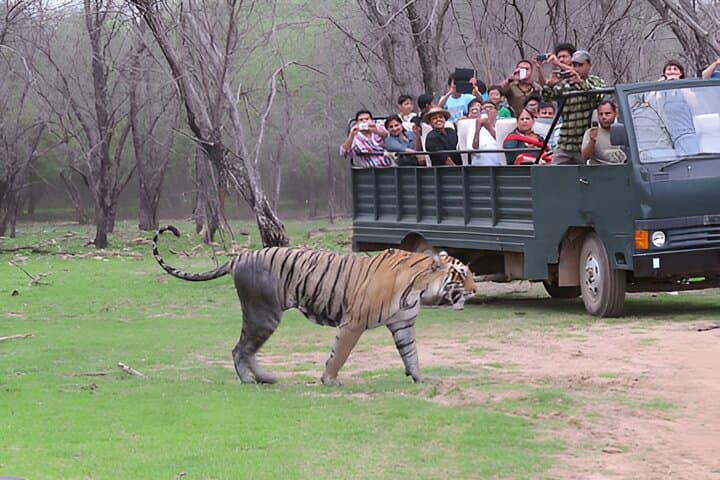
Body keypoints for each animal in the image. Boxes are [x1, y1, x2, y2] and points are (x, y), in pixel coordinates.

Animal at [152, 225, 477, 385]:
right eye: (461, 275)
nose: (474, 290)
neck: (417, 288)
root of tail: (239, 257)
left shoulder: (403, 324)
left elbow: (411, 354)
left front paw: (420, 378)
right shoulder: (353, 322)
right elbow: (339, 354)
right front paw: (329, 380)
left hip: (263, 317)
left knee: (247, 349)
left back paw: (265, 378)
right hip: (264, 314)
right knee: (239, 349)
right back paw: (247, 380)